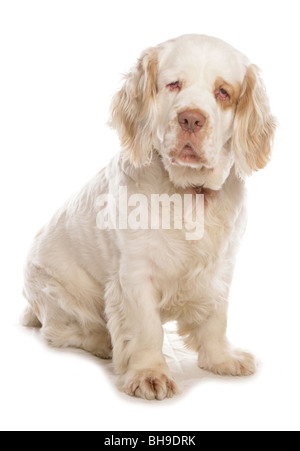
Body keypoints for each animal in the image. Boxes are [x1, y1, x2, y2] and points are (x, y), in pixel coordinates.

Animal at [22, 36, 276, 402]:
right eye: (173, 84)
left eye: (223, 92)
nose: (191, 120)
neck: (190, 194)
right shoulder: (134, 276)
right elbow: (146, 329)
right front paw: (149, 374)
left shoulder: (221, 268)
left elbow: (216, 317)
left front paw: (221, 359)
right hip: (56, 293)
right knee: (62, 330)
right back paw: (103, 342)